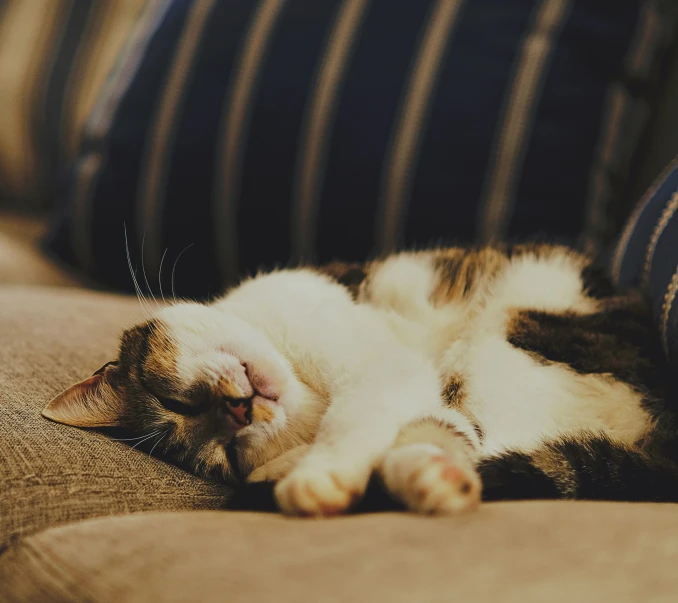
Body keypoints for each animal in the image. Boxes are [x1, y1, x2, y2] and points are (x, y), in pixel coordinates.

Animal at [42, 243, 678, 516]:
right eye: (222, 455)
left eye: (173, 398)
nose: (237, 409)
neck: (307, 391)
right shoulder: (405, 385)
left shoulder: (375, 367)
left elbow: (352, 420)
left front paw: (318, 477)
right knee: (468, 441)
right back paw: (430, 477)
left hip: (510, 333)